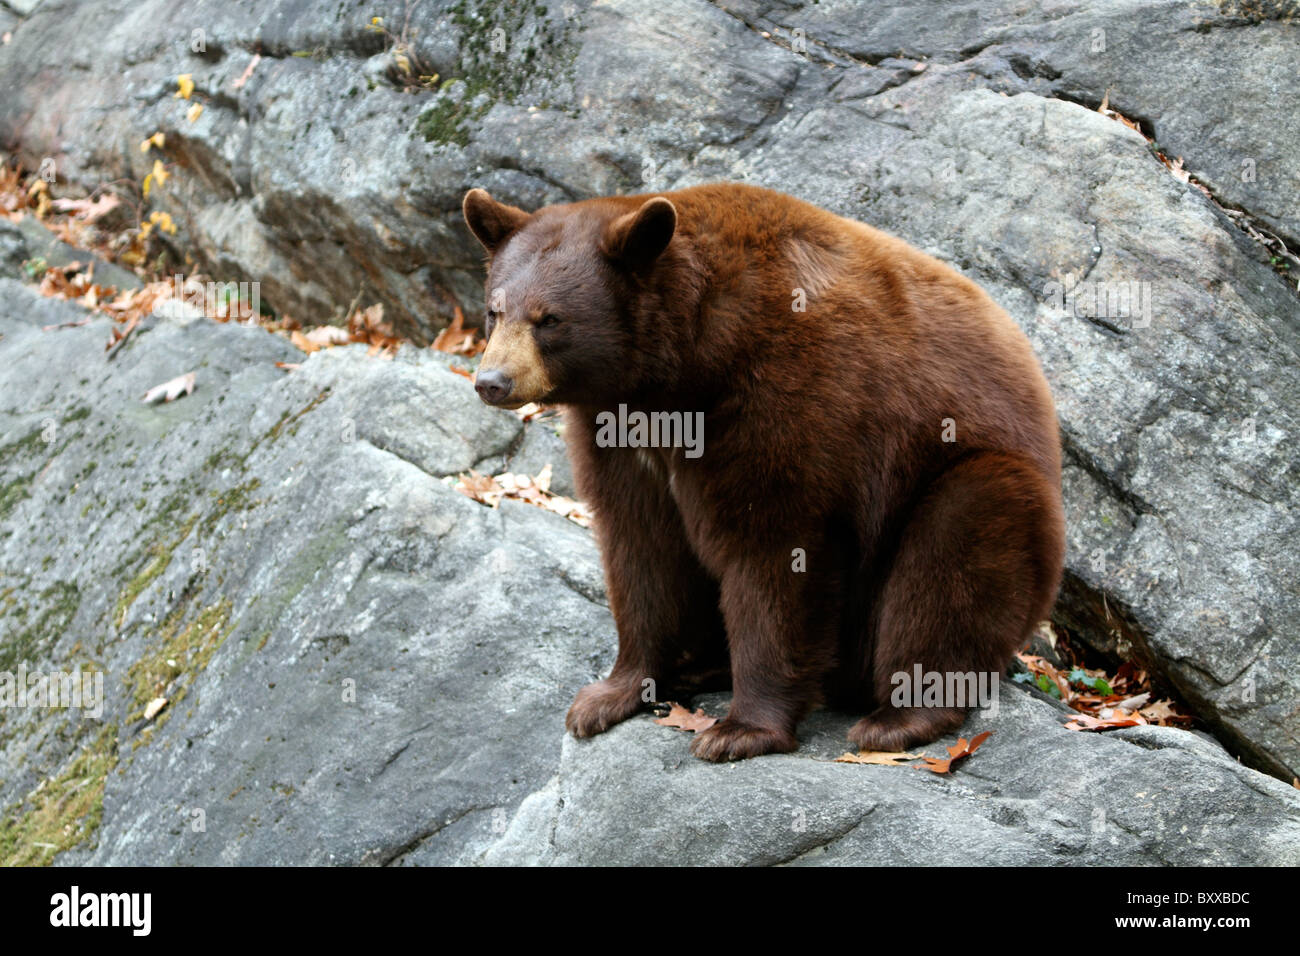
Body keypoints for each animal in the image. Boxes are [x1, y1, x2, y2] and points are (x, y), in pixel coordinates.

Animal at [462, 179, 1060, 764]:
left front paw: (740, 730)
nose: (491, 381)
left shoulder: (787, 393)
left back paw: (900, 717)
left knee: (957, 547)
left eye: (550, 319)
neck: (684, 368)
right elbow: (640, 545)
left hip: (969, 475)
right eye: (495, 310)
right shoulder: (621, 435)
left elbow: (773, 550)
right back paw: (702, 666)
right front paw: (609, 695)